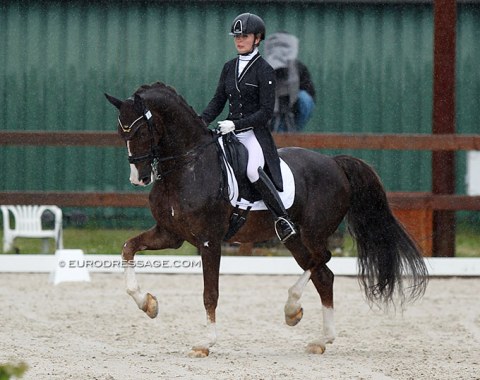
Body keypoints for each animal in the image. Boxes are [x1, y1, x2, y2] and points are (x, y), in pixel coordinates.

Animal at [105, 81, 428, 358]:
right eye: (122, 134)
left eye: (140, 132)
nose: (139, 178)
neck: (188, 165)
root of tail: (334, 163)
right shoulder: (170, 235)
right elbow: (128, 248)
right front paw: (148, 304)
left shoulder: (209, 241)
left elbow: (210, 293)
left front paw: (205, 343)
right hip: (294, 238)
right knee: (323, 274)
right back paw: (321, 339)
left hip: (311, 233)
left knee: (321, 260)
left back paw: (292, 309)